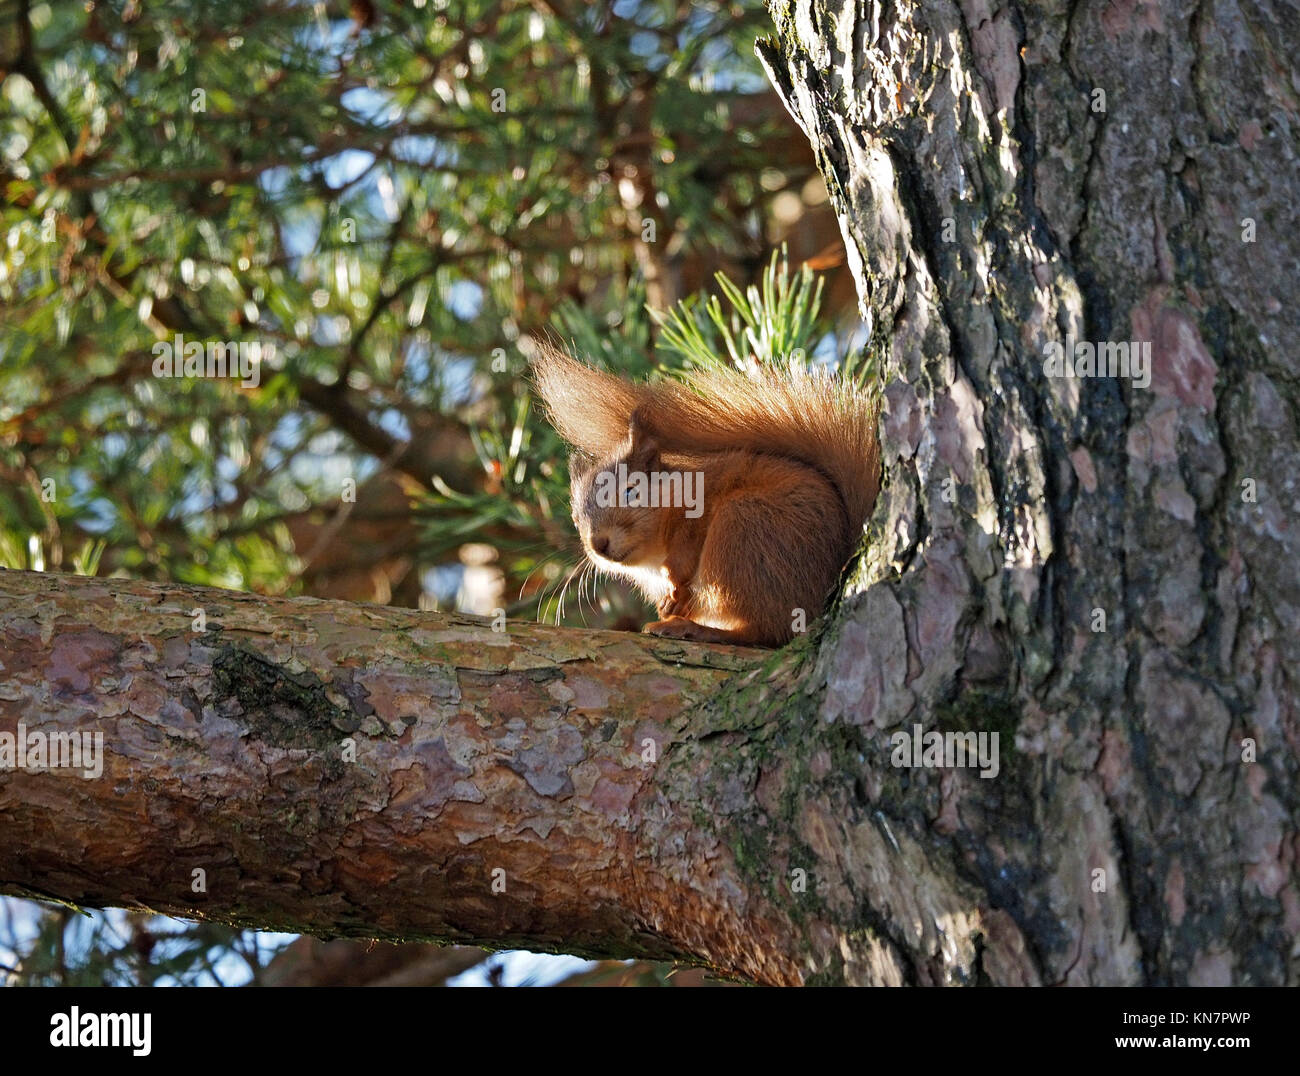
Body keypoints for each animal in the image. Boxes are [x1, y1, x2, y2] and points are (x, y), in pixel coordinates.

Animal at [531, 343, 880, 647]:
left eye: (631, 491)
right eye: (576, 518)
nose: (598, 544)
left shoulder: (701, 506)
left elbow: (687, 552)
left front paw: (676, 585)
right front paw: (668, 604)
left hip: (742, 529)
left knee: (766, 631)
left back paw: (696, 629)